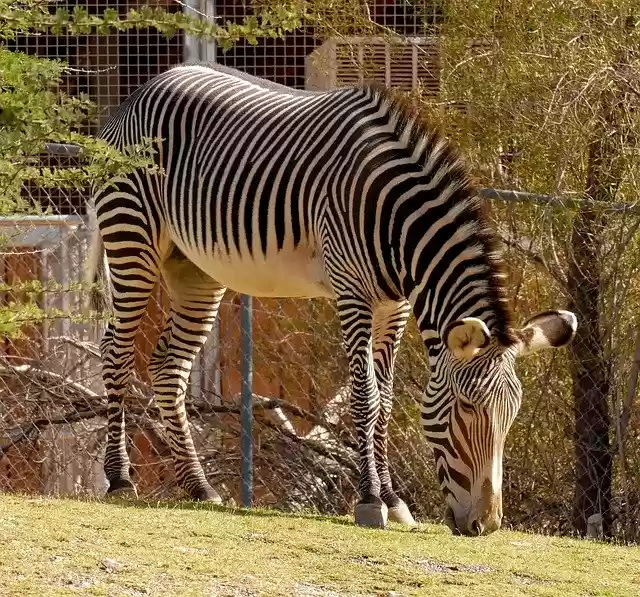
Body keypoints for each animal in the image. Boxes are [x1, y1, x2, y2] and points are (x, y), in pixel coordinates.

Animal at [85, 62, 577, 536]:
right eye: (467, 411)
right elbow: (367, 397)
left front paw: (394, 501)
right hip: (132, 241)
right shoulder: (351, 291)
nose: (486, 526)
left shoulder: (394, 306)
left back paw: (199, 486)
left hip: (195, 269)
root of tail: (142, 90)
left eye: (511, 416)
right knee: (116, 352)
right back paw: (120, 479)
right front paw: (370, 500)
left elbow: (388, 400)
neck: (393, 216)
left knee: (168, 367)